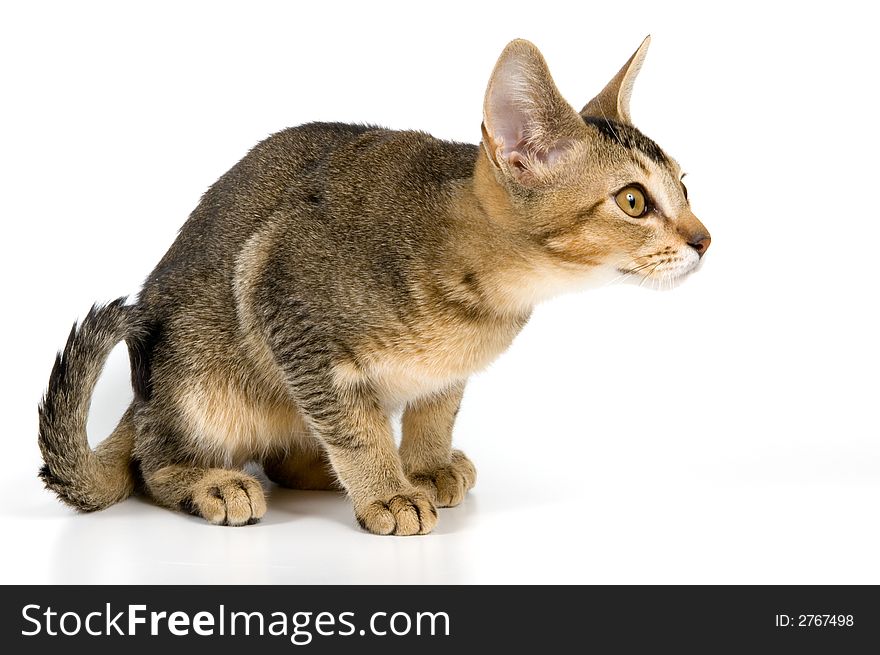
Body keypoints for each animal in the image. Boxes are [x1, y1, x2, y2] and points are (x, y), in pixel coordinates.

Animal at [39, 38, 708, 536]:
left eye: (684, 186)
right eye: (633, 201)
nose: (705, 239)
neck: (489, 294)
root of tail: (143, 402)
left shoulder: (445, 370)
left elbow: (436, 408)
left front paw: (425, 464)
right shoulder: (280, 295)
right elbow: (352, 427)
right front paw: (386, 491)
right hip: (199, 379)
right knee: (153, 463)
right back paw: (213, 482)